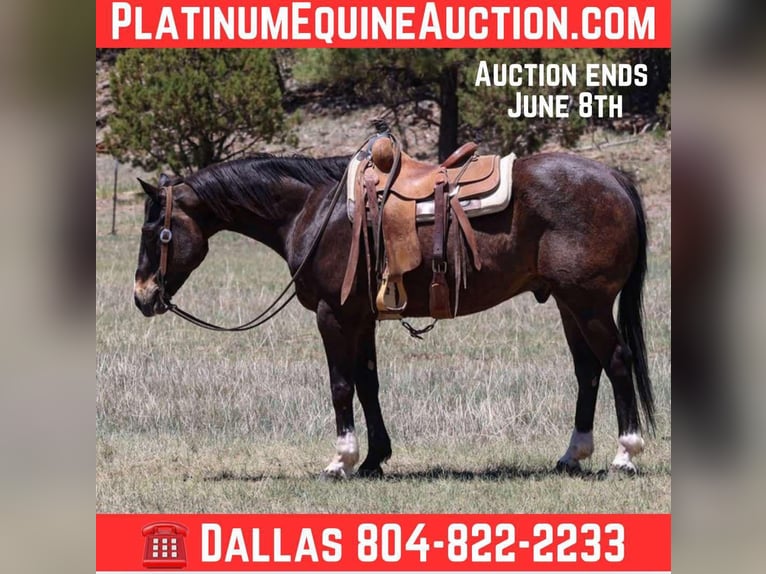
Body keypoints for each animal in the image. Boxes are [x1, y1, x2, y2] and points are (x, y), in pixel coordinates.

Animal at [133, 147, 655, 479]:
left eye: (158, 232)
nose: (142, 296)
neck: (313, 209)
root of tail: (615, 179)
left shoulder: (333, 315)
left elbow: (341, 386)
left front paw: (341, 460)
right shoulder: (360, 318)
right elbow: (368, 383)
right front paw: (373, 459)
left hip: (588, 303)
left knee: (617, 362)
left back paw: (625, 454)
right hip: (569, 303)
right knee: (587, 370)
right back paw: (572, 455)